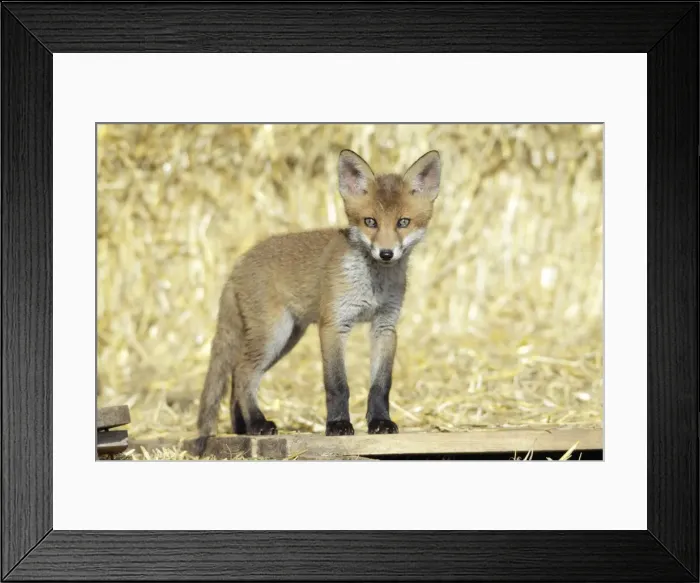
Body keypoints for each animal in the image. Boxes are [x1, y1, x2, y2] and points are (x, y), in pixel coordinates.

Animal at [195, 148, 441, 440]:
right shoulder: (334, 324)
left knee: (238, 375)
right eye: (370, 222)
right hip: (274, 335)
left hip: (286, 339)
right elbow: (337, 385)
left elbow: (381, 385)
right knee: (243, 373)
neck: (372, 285)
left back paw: (245, 428)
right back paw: (258, 423)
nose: (386, 253)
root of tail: (238, 264)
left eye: (403, 222)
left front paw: (380, 422)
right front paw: (338, 425)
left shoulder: (385, 325)